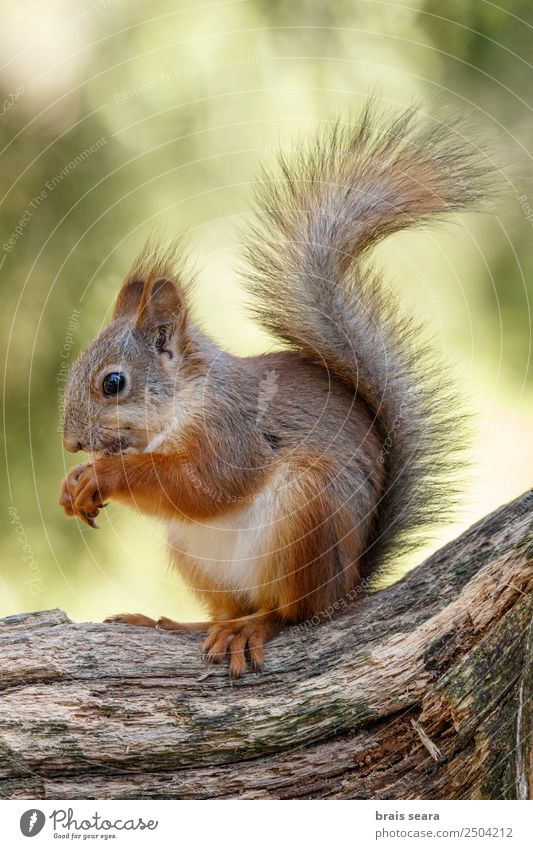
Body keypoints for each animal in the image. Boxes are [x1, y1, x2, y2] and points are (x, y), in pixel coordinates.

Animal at [58, 101, 490, 676]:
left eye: (113, 383)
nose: (70, 442)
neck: (185, 401)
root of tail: (348, 585)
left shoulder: (232, 430)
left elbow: (205, 485)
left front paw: (103, 474)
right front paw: (73, 482)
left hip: (305, 512)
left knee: (291, 612)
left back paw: (252, 627)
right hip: (196, 555)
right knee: (230, 607)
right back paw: (176, 623)